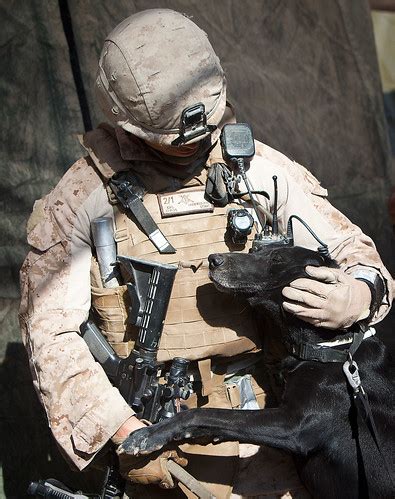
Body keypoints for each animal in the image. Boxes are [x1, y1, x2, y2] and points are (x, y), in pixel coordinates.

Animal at [122, 247, 394, 499]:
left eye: (276, 259)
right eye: (256, 249)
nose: (213, 259)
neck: (334, 347)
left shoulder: (294, 424)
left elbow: (205, 413)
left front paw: (150, 434)